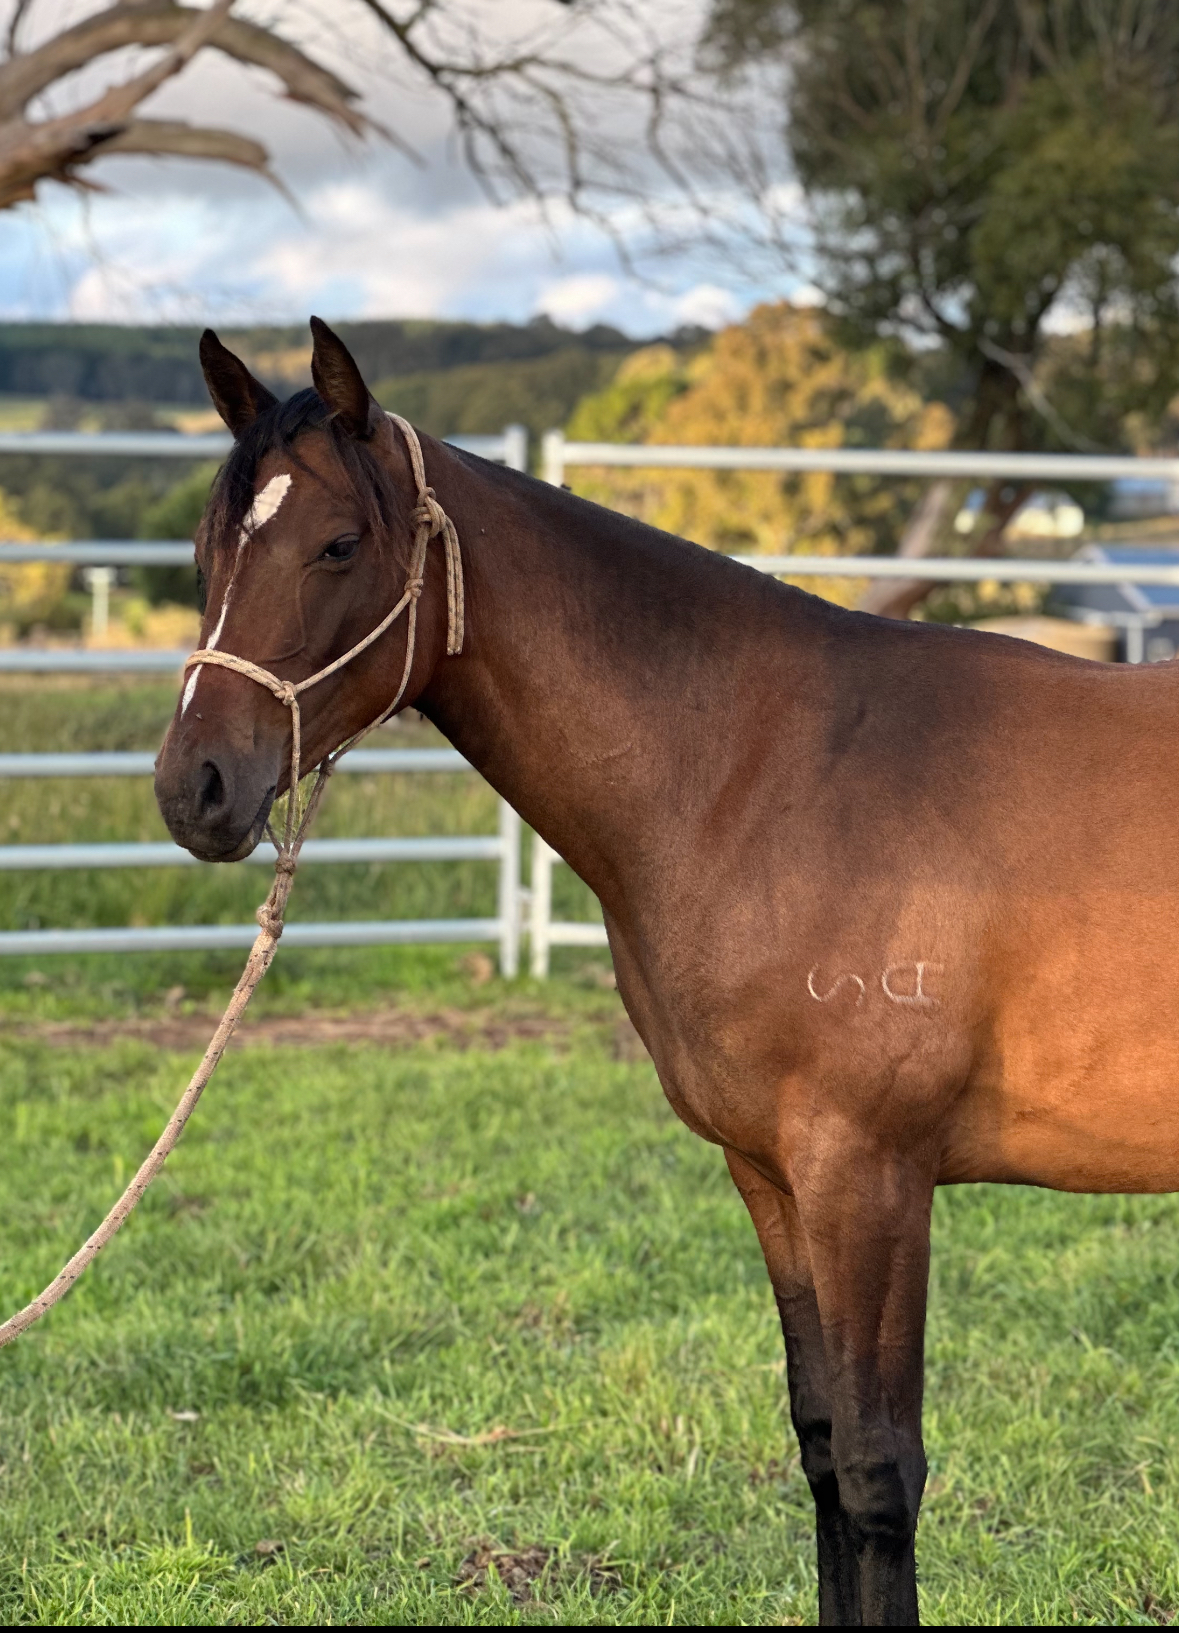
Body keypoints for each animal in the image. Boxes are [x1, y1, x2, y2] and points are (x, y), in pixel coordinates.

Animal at [154, 317, 1179, 1626]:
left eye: (339, 543)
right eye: (209, 547)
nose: (195, 787)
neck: (763, 770)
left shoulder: (871, 1175)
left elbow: (879, 1468)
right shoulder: (773, 1173)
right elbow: (821, 1448)